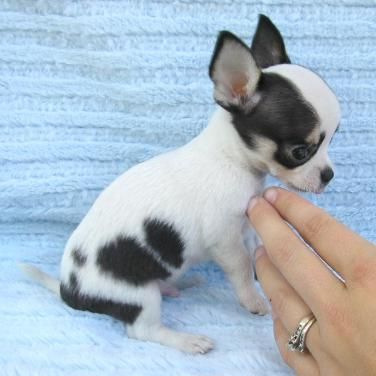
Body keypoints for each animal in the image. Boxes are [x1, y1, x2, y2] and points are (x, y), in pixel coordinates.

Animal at [22, 14, 340, 354]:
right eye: (300, 151)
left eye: (331, 140)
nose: (329, 175)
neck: (232, 160)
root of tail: (69, 289)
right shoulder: (224, 239)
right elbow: (241, 267)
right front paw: (252, 300)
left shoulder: (244, 226)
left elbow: (255, 250)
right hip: (137, 295)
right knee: (143, 331)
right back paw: (187, 340)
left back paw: (179, 283)